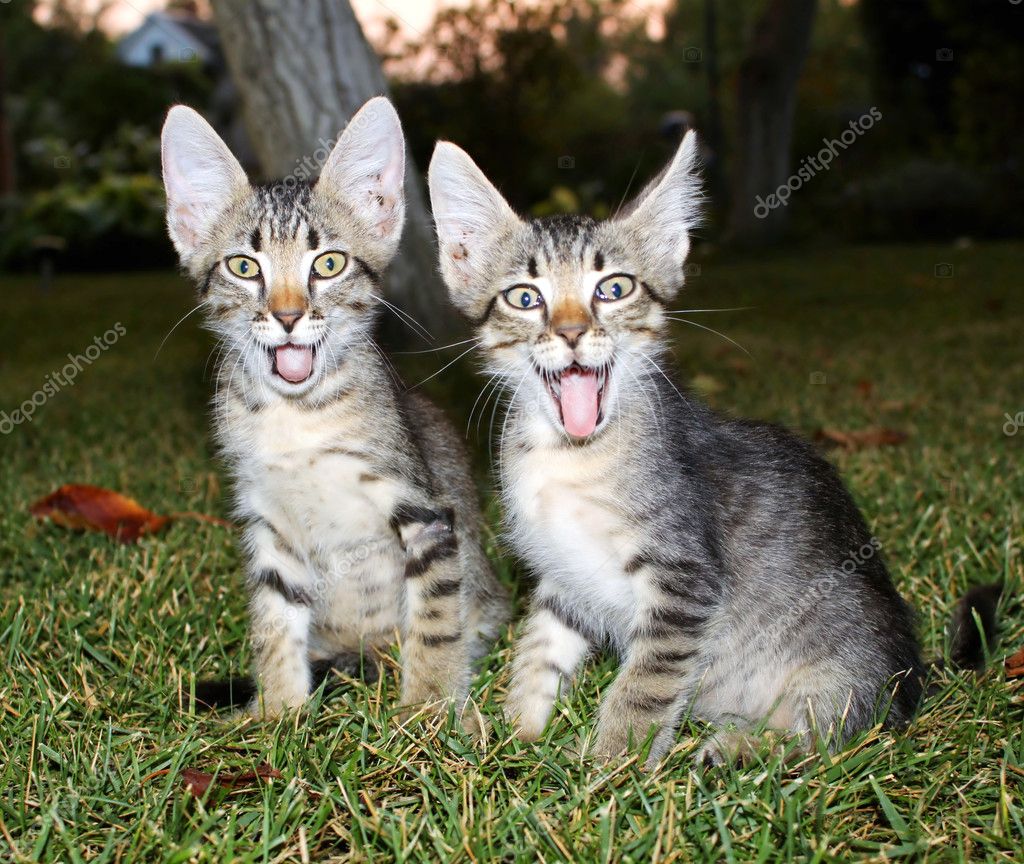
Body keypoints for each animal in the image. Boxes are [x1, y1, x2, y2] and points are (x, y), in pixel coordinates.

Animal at [157, 97, 505, 720]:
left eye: (329, 264)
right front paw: (278, 713)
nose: (289, 316)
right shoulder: (270, 523)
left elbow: (436, 619)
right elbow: (274, 621)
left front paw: (428, 712)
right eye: (244, 267)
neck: (299, 418)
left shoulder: (427, 512)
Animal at [425, 132, 999, 765]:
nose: (572, 333)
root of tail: (912, 673)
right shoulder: (562, 576)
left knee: (828, 735)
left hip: (843, 667)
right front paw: (515, 737)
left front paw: (611, 767)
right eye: (525, 298)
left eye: (614, 288)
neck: (572, 457)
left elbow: (646, 683)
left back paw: (740, 750)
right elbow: (539, 650)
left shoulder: (683, 579)